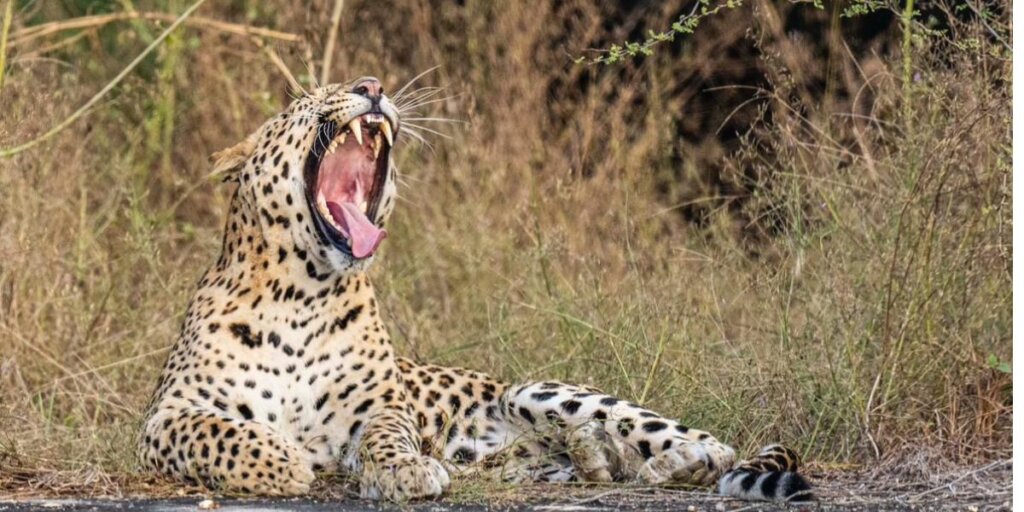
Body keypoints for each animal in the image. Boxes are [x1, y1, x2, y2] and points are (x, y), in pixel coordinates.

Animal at [138, 76, 806, 503]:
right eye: (308, 99)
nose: (372, 85)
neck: (302, 291)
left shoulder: (380, 406)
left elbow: (388, 436)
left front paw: (405, 471)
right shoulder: (165, 416)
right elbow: (218, 431)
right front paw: (282, 462)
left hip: (536, 389)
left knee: (708, 443)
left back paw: (665, 461)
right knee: (592, 461)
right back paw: (592, 455)